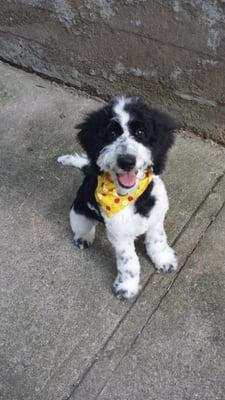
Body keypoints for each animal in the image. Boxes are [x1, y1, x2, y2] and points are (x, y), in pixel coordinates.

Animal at [57, 95, 178, 298]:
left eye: (140, 131)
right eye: (111, 133)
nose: (127, 161)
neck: (131, 198)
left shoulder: (156, 220)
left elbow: (158, 241)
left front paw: (163, 259)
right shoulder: (120, 236)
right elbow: (129, 263)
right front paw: (127, 287)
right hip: (79, 213)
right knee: (83, 226)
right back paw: (83, 238)